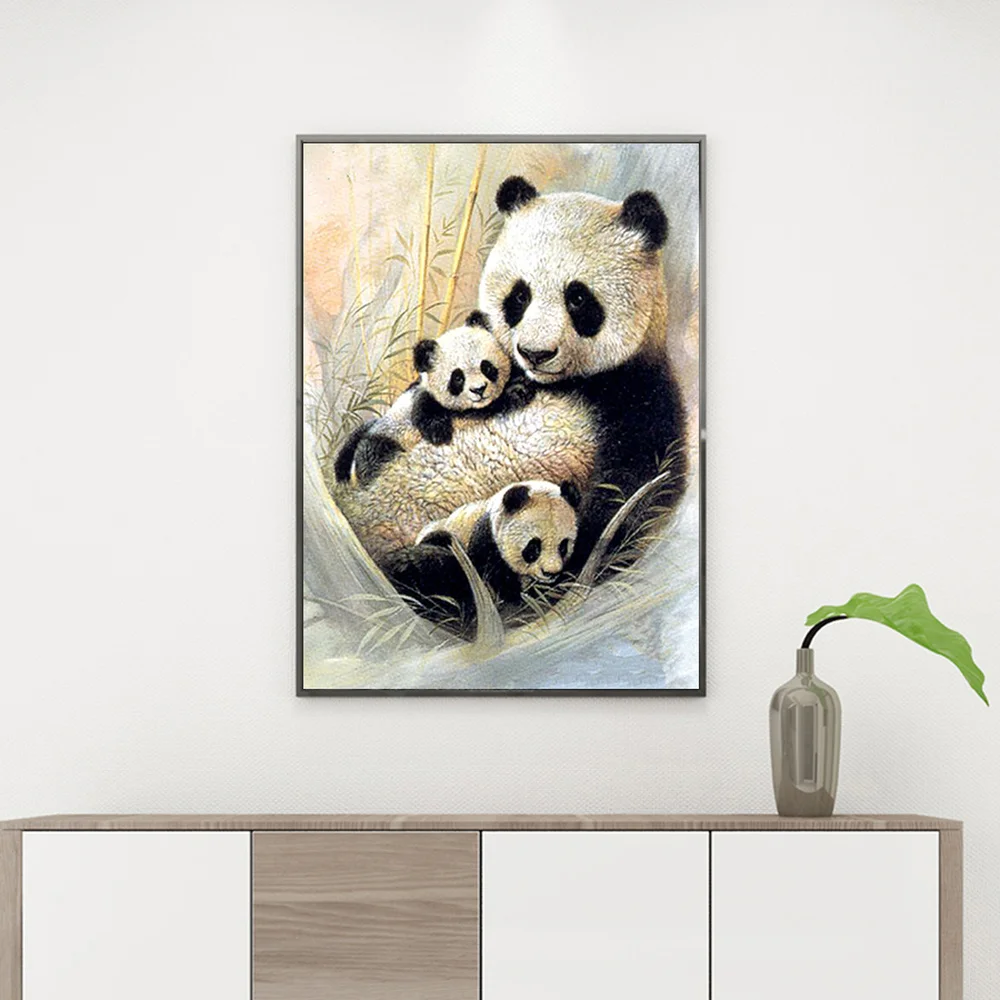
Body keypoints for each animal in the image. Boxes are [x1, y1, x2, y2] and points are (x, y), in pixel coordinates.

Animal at [333, 311, 529, 486]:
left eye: (487, 367)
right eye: (458, 378)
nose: (479, 390)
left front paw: (519, 385)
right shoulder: (426, 401)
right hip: (386, 436)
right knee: (374, 454)